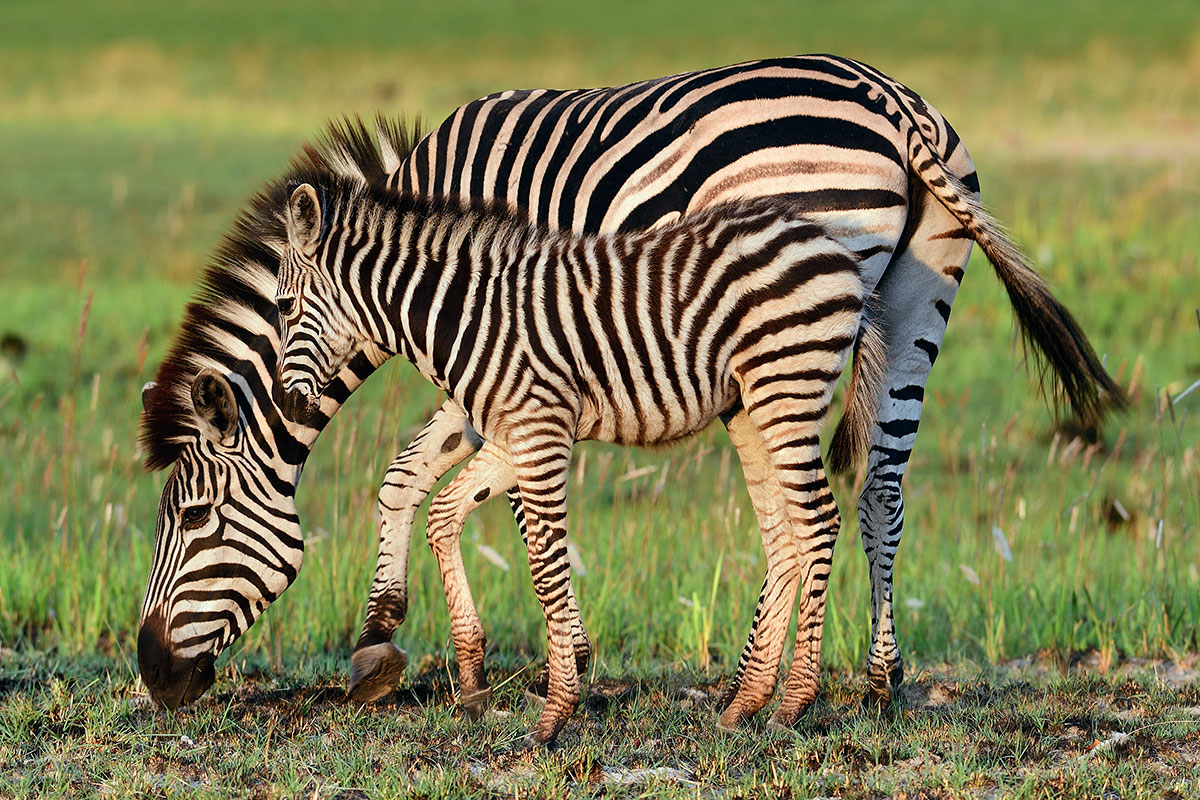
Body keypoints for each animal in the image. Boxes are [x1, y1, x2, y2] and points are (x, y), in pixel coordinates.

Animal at [137, 55, 1122, 720]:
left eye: (192, 520)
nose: (152, 676)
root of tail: (895, 100)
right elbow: (420, 480)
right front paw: (419, 646)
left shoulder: (497, 342)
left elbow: (430, 480)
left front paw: (439, 647)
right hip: (919, 294)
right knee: (881, 481)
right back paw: (878, 680)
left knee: (814, 499)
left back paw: (770, 689)